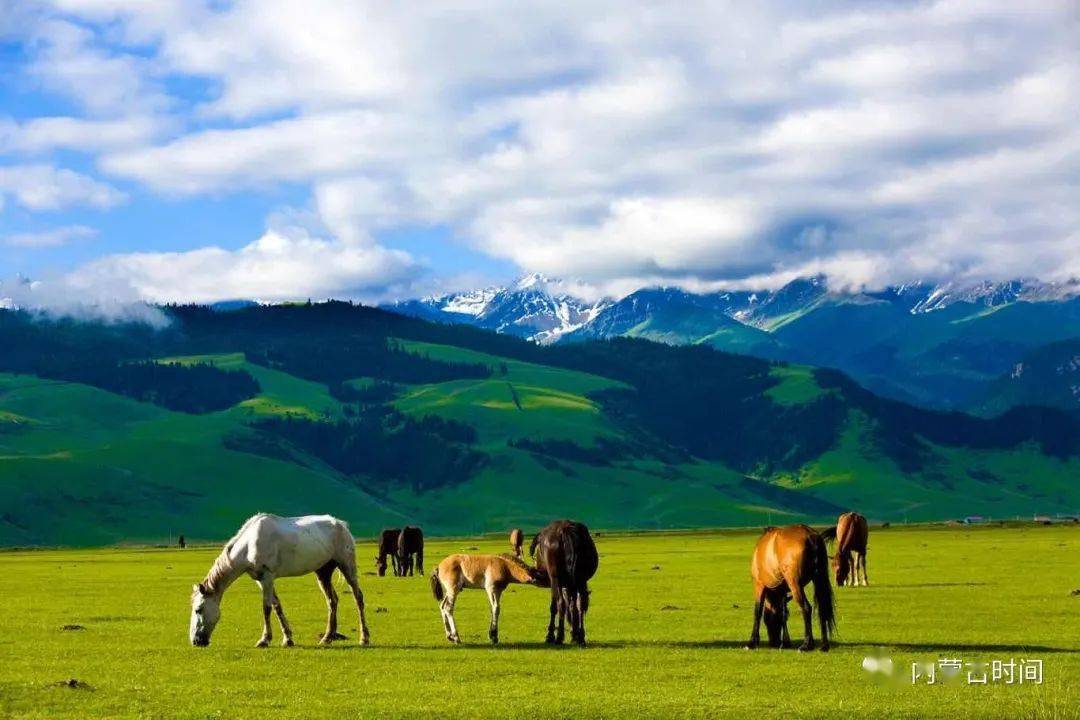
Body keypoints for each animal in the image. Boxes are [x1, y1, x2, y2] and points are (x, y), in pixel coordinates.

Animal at [187, 515, 369, 651]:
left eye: (198, 610)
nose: (195, 641)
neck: (249, 545)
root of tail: (341, 524)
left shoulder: (267, 576)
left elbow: (266, 608)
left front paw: (264, 640)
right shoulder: (261, 580)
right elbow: (277, 606)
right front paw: (287, 639)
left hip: (346, 565)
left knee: (358, 598)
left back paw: (364, 638)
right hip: (323, 572)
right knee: (332, 601)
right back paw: (327, 638)